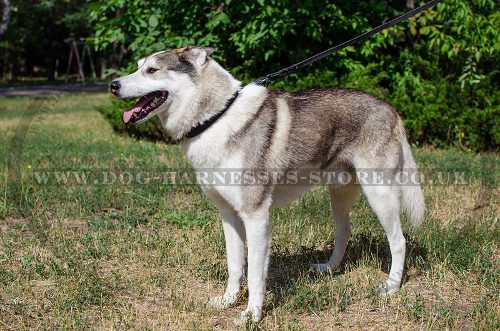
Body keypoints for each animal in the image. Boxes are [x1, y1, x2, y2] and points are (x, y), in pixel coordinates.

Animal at [108, 45, 422, 326]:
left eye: (152, 70)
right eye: (138, 66)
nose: (113, 85)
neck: (215, 118)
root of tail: (390, 109)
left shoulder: (256, 216)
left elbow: (256, 274)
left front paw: (251, 315)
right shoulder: (229, 216)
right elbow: (235, 266)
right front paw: (228, 301)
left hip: (379, 195)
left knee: (399, 241)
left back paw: (391, 286)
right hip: (339, 195)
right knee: (344, 232)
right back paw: (329, 269)